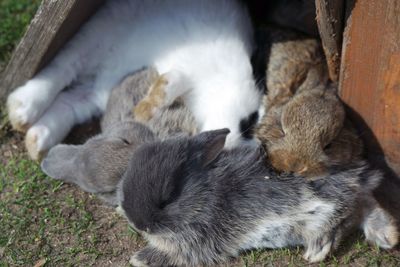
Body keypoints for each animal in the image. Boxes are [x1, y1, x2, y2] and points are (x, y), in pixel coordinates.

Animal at [8, 0, 262, 161]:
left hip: (96, 93)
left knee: (69, 102)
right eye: (248, 121)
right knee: (63, 68)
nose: (228, 148)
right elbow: (172, 82)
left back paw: (37, 141)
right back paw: (22, 110)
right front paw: (144, 110)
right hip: (99, 36)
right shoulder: (189, 71)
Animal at [116, 129, 396, 266]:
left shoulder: (198, 242)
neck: (206, 194)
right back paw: (387, 236)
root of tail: (358, 175)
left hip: (325, 205)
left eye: (169, 198)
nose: (138, 224)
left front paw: (140, 259)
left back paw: (318, 249)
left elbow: (178, 254)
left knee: (345, 213)